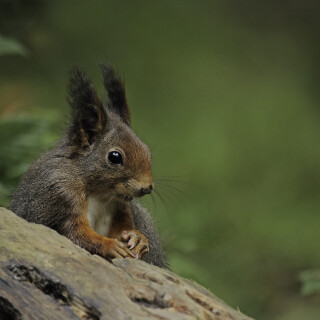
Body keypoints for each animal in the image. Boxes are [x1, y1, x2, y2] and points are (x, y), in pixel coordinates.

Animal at [10, 63, 168, 268]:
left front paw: (137, 237)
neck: (100, 193)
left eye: (146, 149)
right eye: (115, 157)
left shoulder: (121, 205)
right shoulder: (61, 195)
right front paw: (109, 245)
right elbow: (75, 234)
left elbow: (123, 226)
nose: (147, 187)